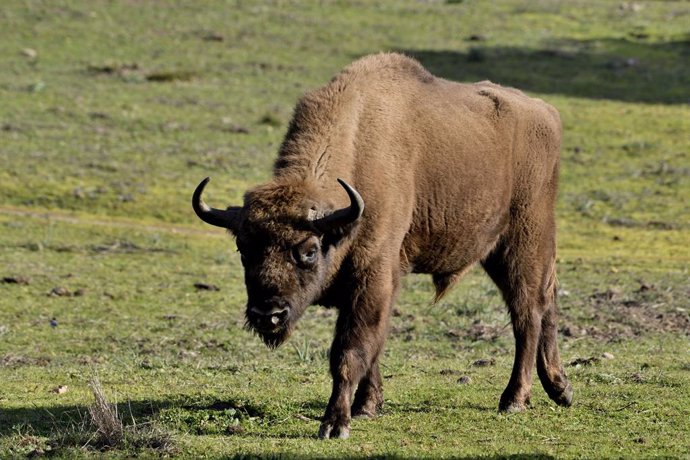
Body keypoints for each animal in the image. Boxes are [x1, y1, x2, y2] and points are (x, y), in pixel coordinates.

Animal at [192, 53, 568, 438]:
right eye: (243, 249)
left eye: (309, 250)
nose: (267, 315)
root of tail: (545, 112)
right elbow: (372, 348)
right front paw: (366, 407)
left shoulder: (371, 277)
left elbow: (350, 351)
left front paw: (335, 423)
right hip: (505, 251)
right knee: (546, 301)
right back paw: (559, 388)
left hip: (523, 243)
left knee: (527, 313)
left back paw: (514, 400)